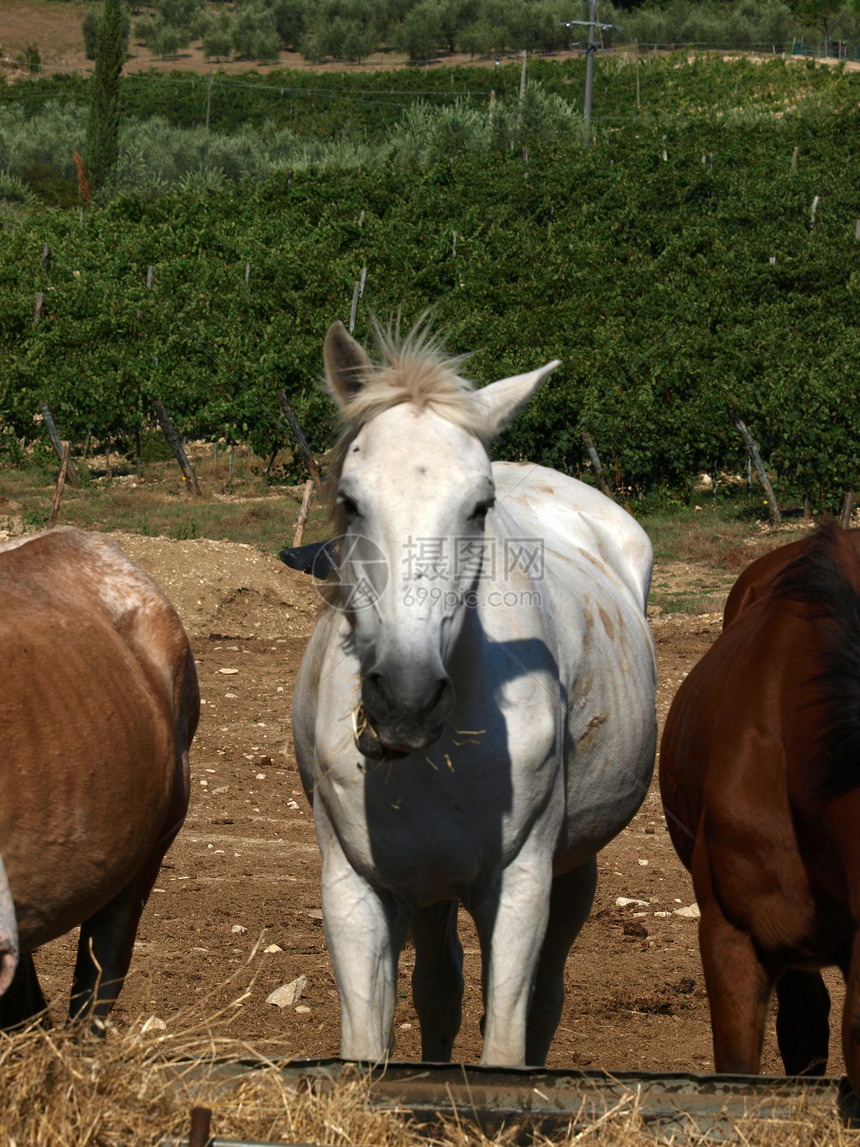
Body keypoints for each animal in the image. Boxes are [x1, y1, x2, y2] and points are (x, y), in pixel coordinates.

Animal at [293, 321, 655, 1064]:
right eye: (350, 500)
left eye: (480, 505)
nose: (404, 699)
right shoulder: (354, 889)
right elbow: (371, 1043)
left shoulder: (518, 887)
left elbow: (507, 1044)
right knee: (439, 986)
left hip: (573, 870)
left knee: (544, 997)